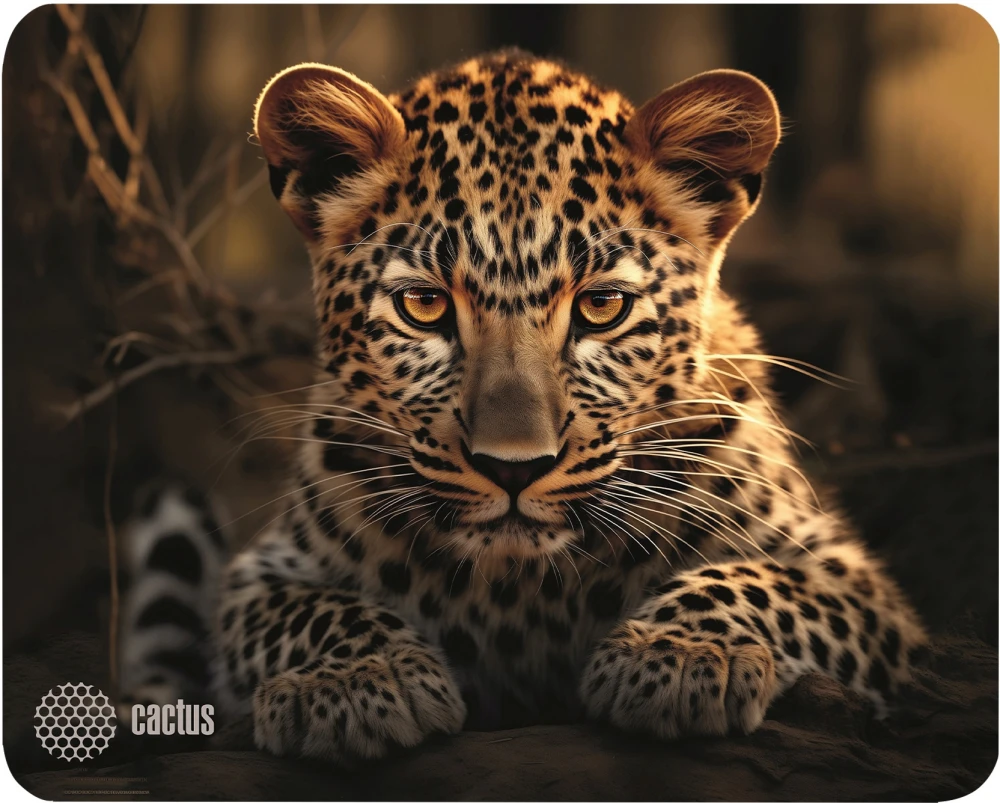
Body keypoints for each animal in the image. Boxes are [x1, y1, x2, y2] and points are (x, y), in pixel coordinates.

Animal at [117, 50, 927, 766]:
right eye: (423, 306)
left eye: (602, 307)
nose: (514, 469)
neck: (523, 584)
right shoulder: (264, 574)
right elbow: (312, 610)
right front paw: (356, 681)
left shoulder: (852, 580)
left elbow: (753, 581)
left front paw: (679, 654)